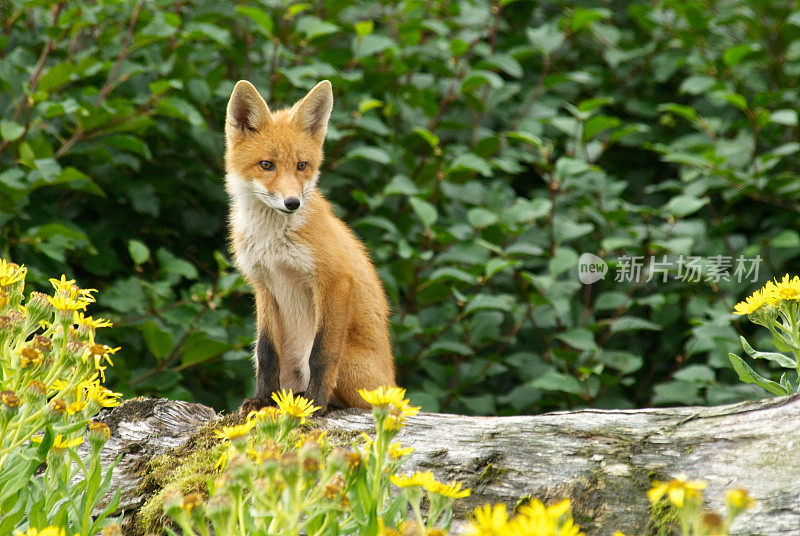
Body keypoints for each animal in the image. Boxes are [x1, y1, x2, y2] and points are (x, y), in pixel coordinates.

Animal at [223, 80, 396, 414]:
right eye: (267, 165)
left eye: (302, 165)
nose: (293, 203)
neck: (273, 244)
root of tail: (392, 385)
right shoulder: (264, 285)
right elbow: (267, 353)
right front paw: (262, 399)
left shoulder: (336, 280)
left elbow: (322, 354)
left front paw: (314, 402)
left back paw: (322, 401)